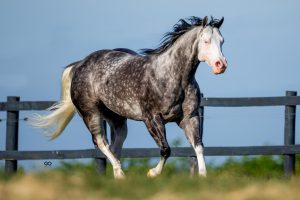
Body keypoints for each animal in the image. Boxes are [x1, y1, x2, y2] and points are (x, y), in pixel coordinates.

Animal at [31, 15, 227, 178]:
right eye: (206, 41)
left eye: (222, 41)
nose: (221, 65)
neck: (172, 77)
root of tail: (80, 64)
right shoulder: (152, 119)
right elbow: (166, 149)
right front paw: (152, 173)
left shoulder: (189, 117)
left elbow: (199, 147)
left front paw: (202, 177)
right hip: (91, 114)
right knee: (101, 142)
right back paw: (120, 173)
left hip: (117, 118)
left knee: (115, 146)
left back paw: (118, 177)